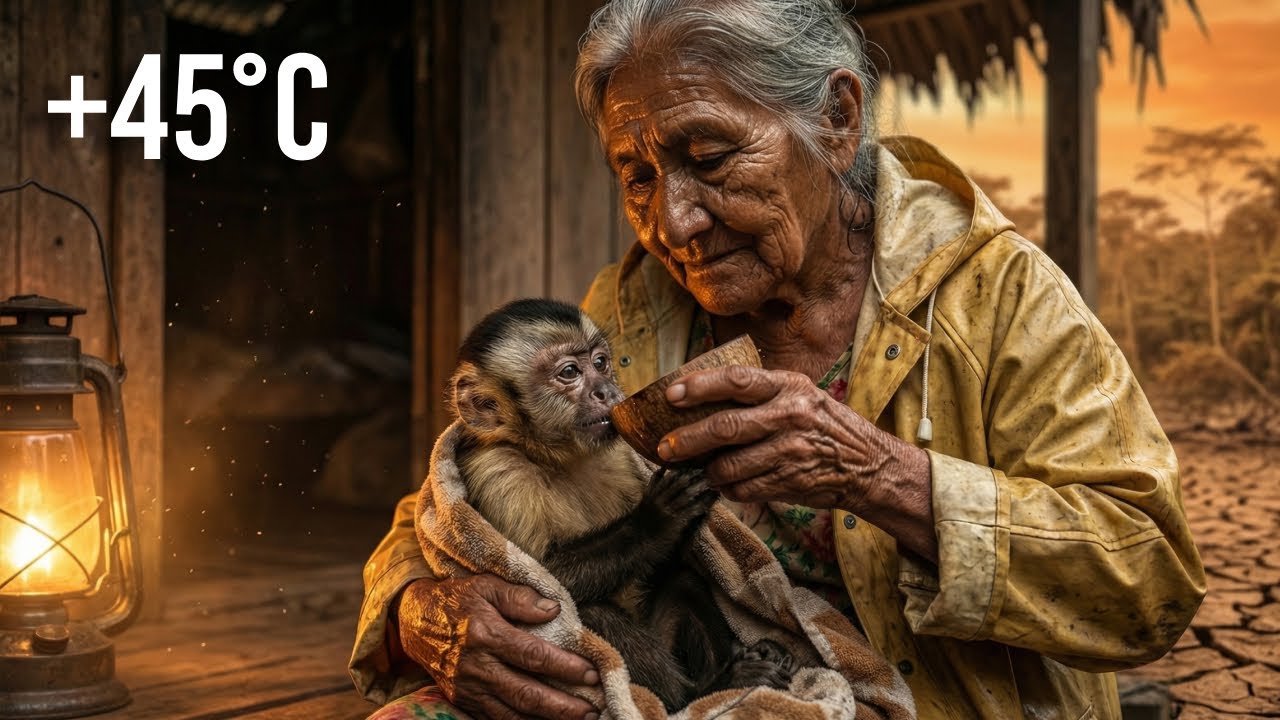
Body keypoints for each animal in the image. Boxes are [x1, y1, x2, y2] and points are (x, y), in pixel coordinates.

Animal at [444, 298, 797, 711]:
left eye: (600, 363)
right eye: (569, 372)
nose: (607, 390)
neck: (555, 458)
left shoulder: (620, 457)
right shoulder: (499, 472)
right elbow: (541, 578)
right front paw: (655, 520)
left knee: (683, 580)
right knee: (587, 614)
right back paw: (703, 691)